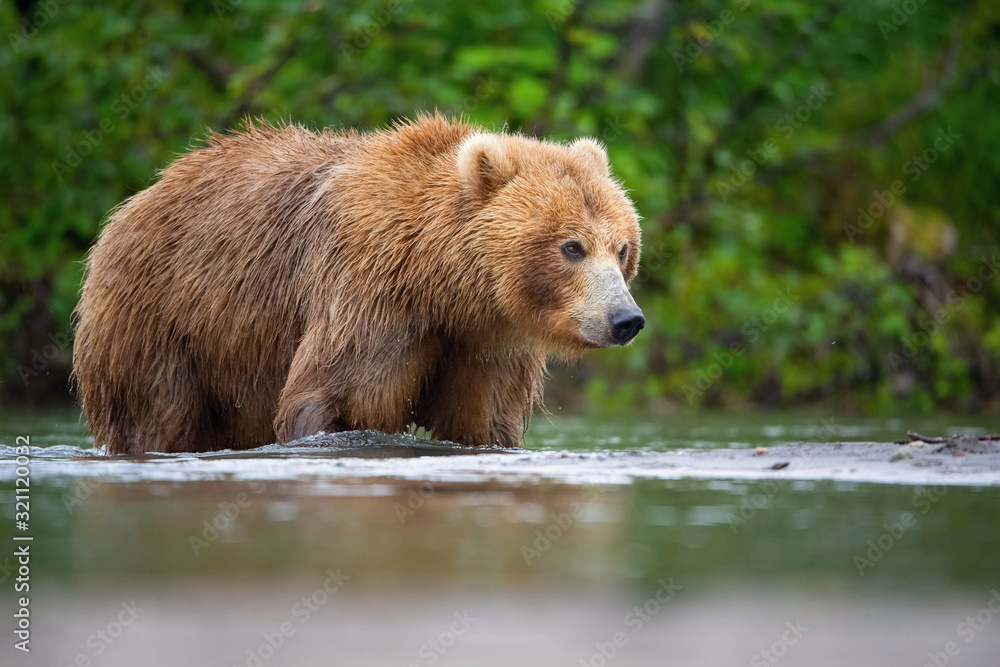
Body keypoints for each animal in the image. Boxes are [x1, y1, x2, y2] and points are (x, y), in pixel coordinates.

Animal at [72, 115, 643, 454]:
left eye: (622, 248)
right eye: (572, 246)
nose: (626, 319)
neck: (442, 280)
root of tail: (141, 196)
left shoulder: (486, 340)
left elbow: (484, 422)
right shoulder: (370, 289)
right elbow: (337, 396)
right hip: (161, 319)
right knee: (156, 413)